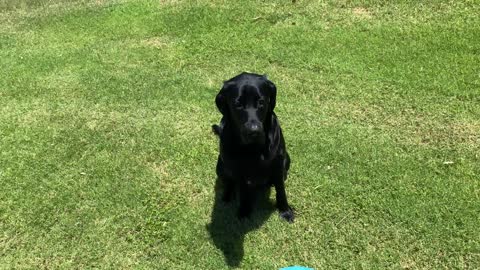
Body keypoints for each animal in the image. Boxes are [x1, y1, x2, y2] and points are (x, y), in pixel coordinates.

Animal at [213, 72, 292, 224]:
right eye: (238, 104)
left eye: (261, 102)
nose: (253, 131)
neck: (254, 148)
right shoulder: (238, 170)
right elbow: (243, 192)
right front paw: (244, 212)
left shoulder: (278, 164)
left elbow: (281, 190)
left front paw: (285, 210)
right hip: (221, 165)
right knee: (229, 183)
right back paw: (227, 196)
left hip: (287, 160)